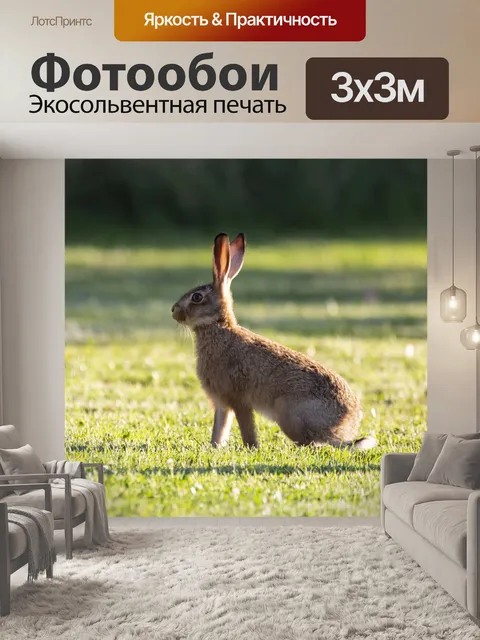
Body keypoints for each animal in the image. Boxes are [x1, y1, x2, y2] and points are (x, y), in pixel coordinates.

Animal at [171, 233, 377, 451]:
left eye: (196, 297)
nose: (174, 311)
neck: (217, 326)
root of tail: (346, 425)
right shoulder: (222, 403)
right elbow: (220, 428)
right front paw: (215, 447)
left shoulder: (239, 399)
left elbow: (246, 427)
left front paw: (251, 447)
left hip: (288, 414)